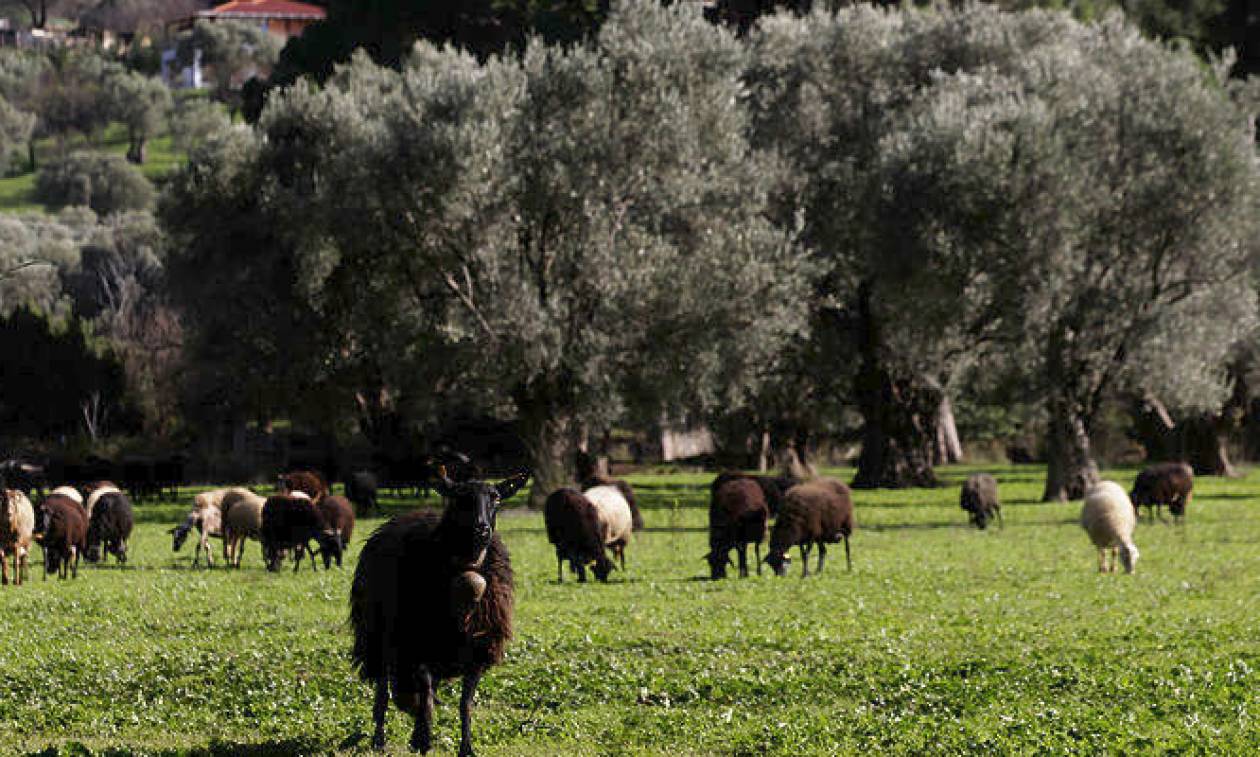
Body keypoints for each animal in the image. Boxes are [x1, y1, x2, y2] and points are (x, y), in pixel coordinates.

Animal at [350, 468, 526, 750]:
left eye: (496, 498)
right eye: (458, 497)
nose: (482, 528)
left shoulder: (477, 652)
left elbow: (465, 704)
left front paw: (466, 747)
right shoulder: (415, 646)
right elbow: (423, 689)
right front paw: (421, 738)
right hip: (378, 637)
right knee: (383, 690)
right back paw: (379, 739)